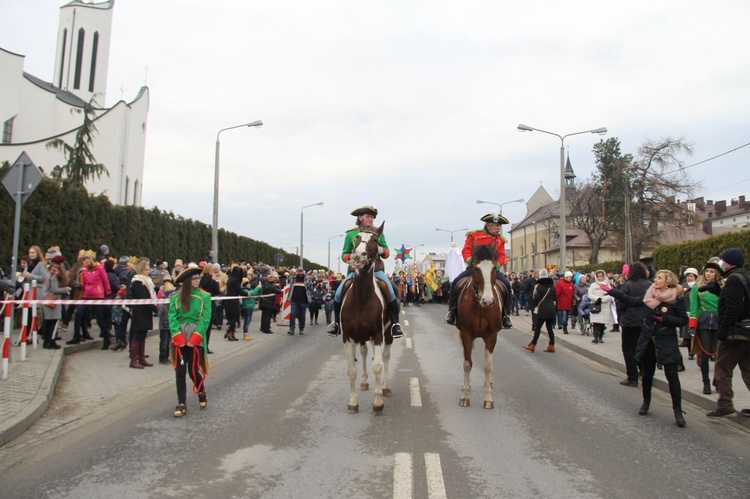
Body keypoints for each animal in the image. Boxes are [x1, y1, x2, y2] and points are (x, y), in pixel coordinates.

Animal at [342, 223, 396, 414]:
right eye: (356, 237)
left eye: (375, 240)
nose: (358, 256)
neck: (361, 298)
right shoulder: (348, 336)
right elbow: (351, 370)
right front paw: (352, 402)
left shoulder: (378, 335)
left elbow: (378, 366)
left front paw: (378, 403)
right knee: (365, 353)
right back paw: (365, 382)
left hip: (387, 335)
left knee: (385, 357)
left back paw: (385, 387)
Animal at [456, 244, 508, 408]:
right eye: (476, 268)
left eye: (493, 268)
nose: (488, 300)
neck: (480, 305)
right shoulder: (466, 334)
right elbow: (467, 364)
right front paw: (465, 397)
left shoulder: (491, 336)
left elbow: (488, 366)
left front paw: (488, 399)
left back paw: (488, 383)